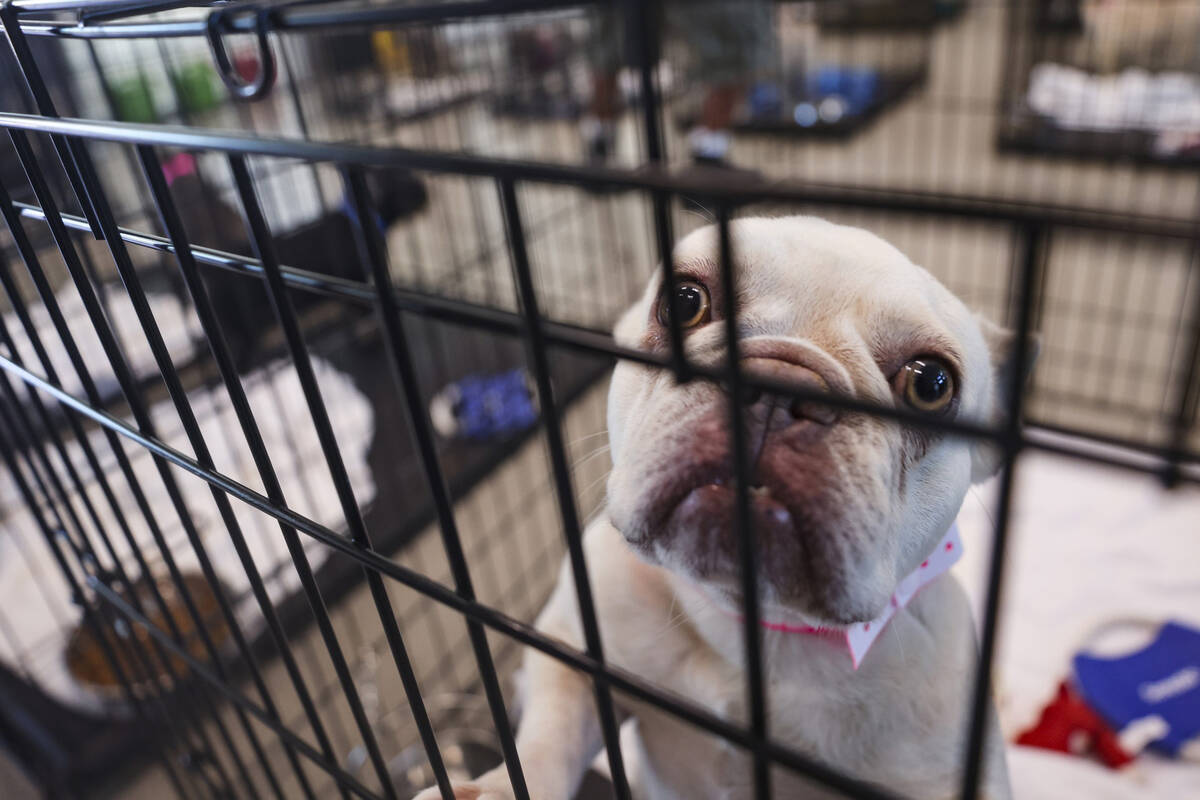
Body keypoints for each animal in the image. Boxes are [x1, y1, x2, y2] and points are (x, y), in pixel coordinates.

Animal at [420, 217, 1022, 800]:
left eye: (931, 384)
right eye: (684, 300)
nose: (778, 385)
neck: (749, 622)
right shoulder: (571, 646)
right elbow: (551, 734)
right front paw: (495, 789)